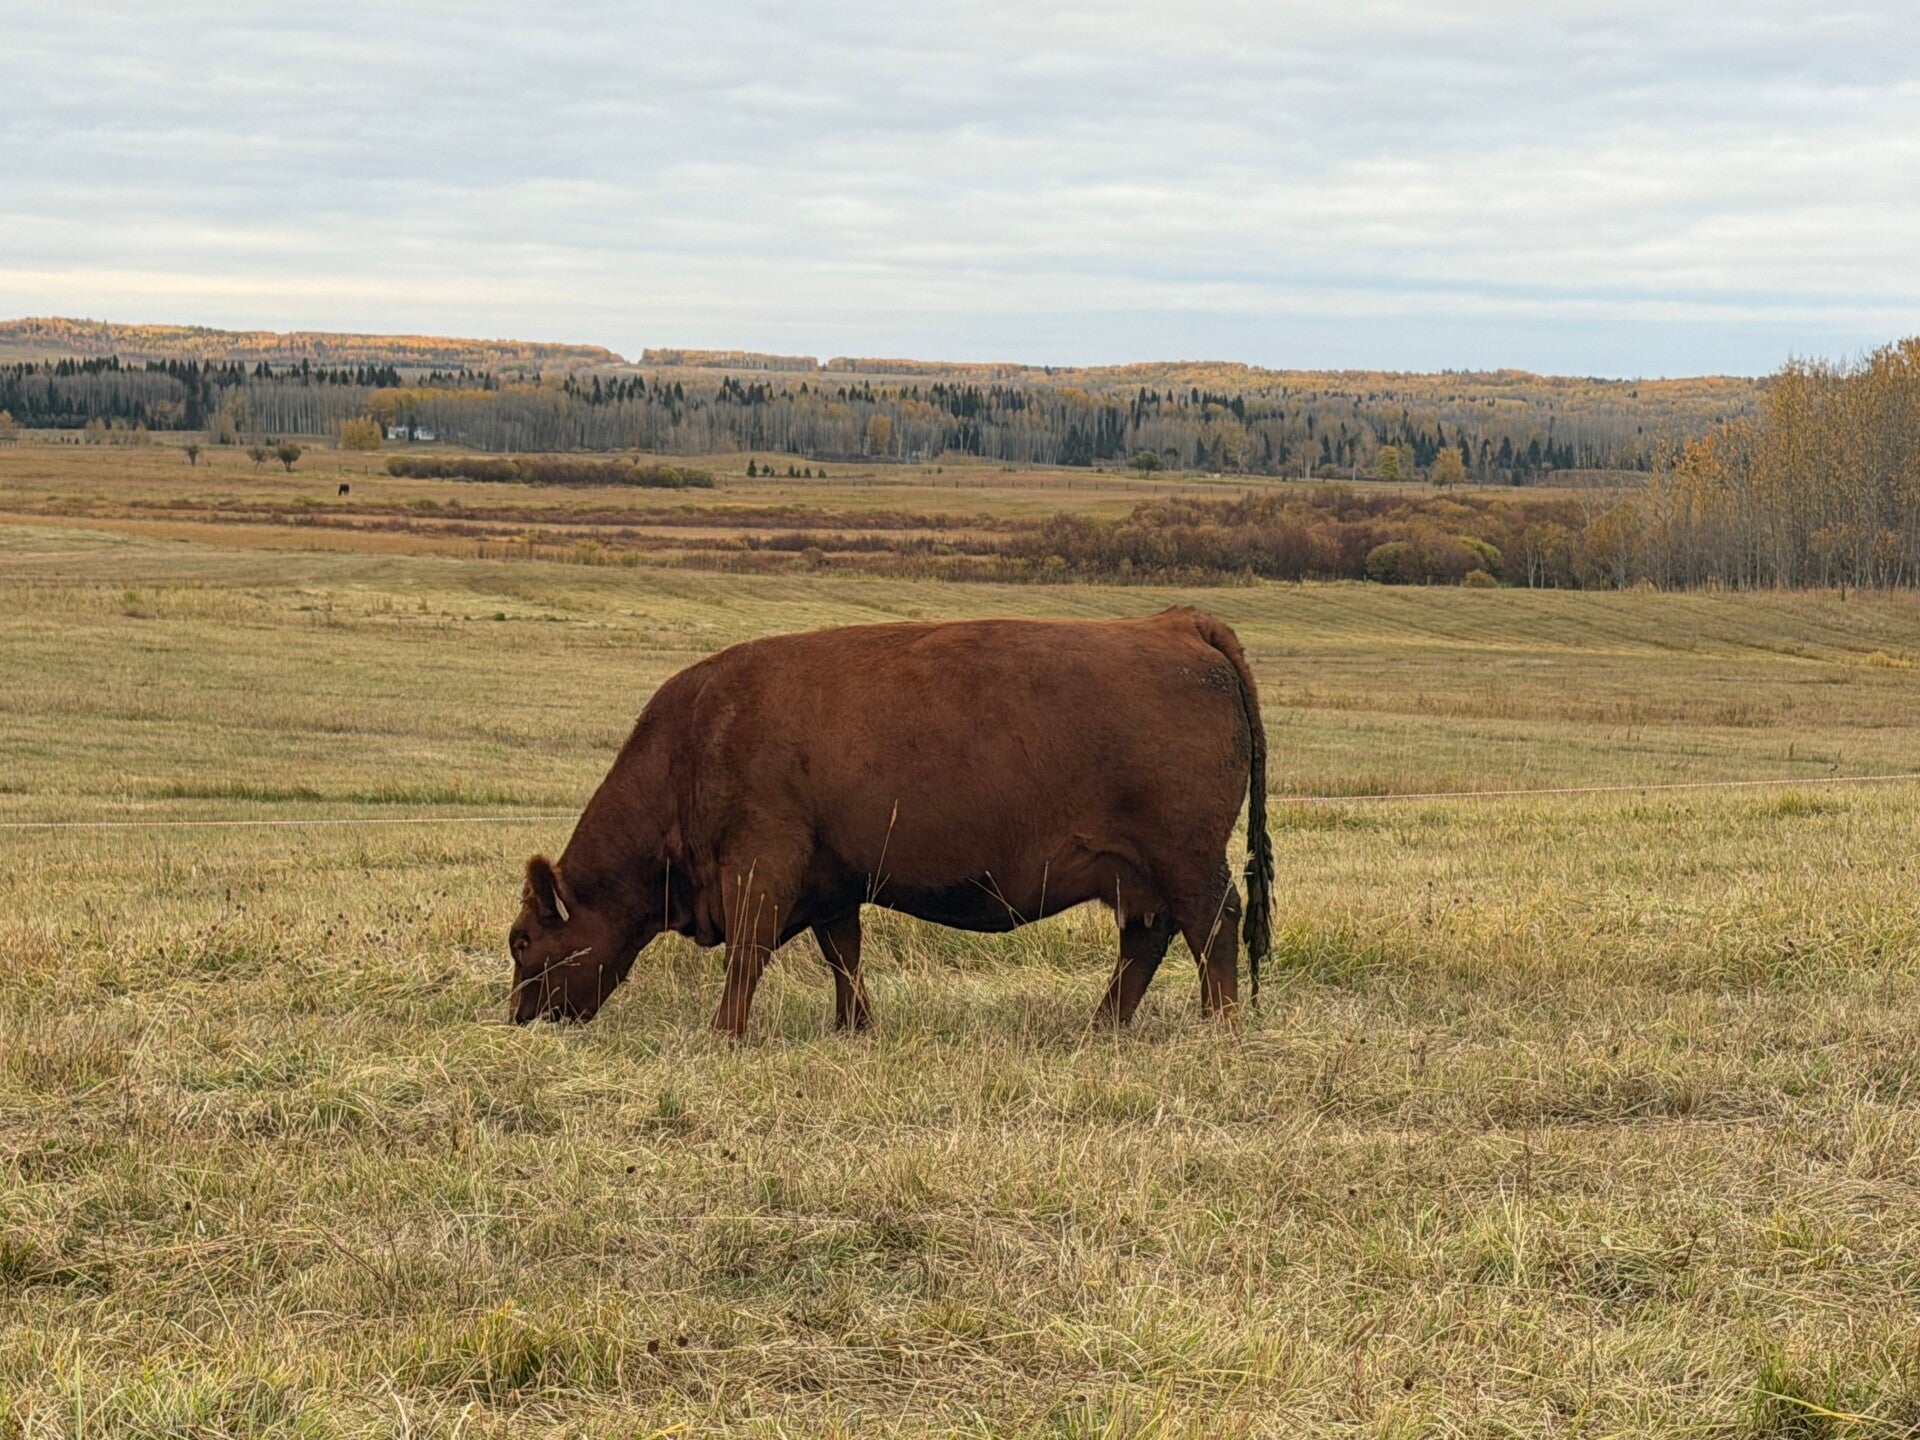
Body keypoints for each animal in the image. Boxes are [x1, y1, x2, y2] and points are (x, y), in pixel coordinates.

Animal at [507, 606, 1274, 1037]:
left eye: (521, 942)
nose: (519, 1018)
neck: (694, 742)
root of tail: (1178, 625)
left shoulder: (758, 868)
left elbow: (748, 956)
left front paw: (725, 1033)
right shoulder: (831, 883)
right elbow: (842, 955)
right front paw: (854, 1028)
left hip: (1186, 862)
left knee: (1212, 927)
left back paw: (1220, 1028)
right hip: (1139, 876)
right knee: (1146, 941)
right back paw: (1101, 1030)